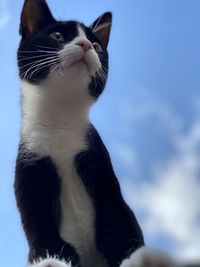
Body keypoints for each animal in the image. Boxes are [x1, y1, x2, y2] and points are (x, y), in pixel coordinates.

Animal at [14, 0, 173, 267]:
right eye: (57, 36)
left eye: (97, 46)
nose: (86, 45)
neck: (60, 122)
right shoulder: (30, 168)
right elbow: (41, 231)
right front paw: (51, 261)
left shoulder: (98, 161)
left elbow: (118, 218)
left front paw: (138, 257)